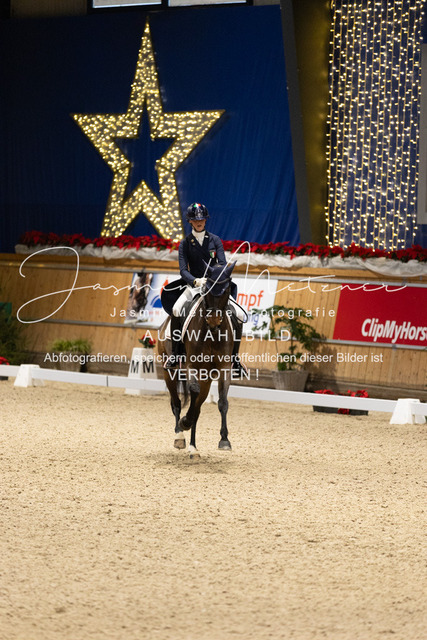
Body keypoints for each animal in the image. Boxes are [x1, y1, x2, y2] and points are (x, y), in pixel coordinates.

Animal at [158, 262, 238, 459]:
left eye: (226, 290)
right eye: (207, 289)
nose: (214, 321)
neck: (211, 334)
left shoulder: (224, 368)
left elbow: (222, 401)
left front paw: (224, 440)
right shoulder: (191, 366)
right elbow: (191, 395)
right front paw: (185, 423)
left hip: (206, 379)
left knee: (197, 408)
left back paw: (193, 446)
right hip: (169, 372)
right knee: (176, 403)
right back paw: (180, 435)